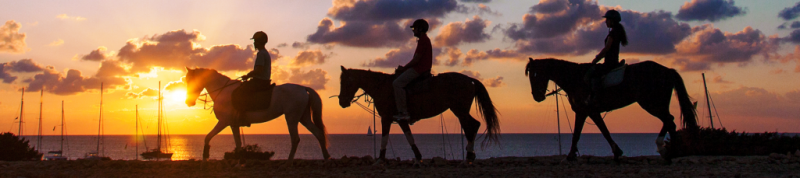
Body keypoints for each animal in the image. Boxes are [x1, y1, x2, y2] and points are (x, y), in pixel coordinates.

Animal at [183, 67, 330, 160]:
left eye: (191, 81)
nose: (188, 102)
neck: (223, 91)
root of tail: (303, 88)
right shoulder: (233, 125)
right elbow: (238, 144)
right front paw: (239, 161)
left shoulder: (224, 122)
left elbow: (207, 137)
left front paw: (205, 157)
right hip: (303, 117)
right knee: (318, 133)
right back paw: (326, 157)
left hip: (292, 118)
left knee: (295, 139)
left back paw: (289, 161)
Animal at [338, 66, 500, 164]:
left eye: (345, 83)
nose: (341, 102)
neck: (382, 87)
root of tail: (470, 80)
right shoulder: (400, 119)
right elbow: (409, 136)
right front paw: (418, 157)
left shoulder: (386, 117)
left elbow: (384, 137)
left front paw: (380, 159)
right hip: (461, 111)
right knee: (472, 126)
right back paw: (470, 155)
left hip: (460, 110)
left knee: (471, 127)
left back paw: (468, 157)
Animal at [520, 57, 696, 162]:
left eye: (535, 74)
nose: (537, 97)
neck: (575, 78)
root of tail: (668, 70)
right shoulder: (587, 112)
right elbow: (591, 132)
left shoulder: (587, 111)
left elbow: (590, 133)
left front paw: (570, 156)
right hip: (657, 104)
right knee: (670, 122)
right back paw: (672, 152)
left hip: (651, 104)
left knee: (669, 121)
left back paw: (666, 149)